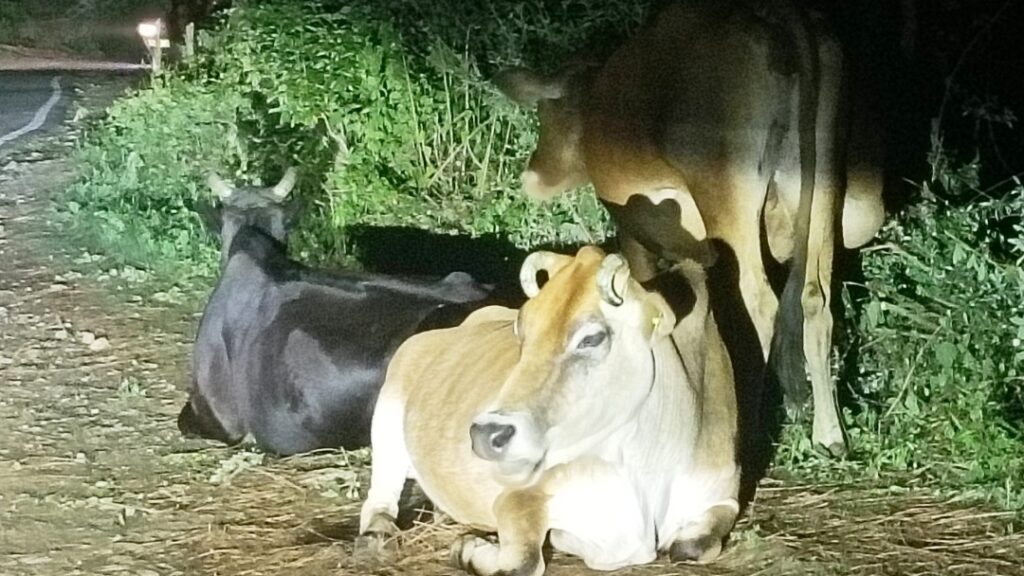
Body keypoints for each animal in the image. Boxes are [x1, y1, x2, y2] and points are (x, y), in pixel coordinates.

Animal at [358, 246, 739, 575]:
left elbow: (693, 545)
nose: (486, 433)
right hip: (387, 420)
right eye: (522, 332)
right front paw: (469, 549)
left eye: (592, 338)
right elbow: (524, 562)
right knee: (379, 500)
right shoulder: (518, 496)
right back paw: (378, 532)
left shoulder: (721, 495)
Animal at [494, 0, 886, 455]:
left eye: (546, 113)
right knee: (813, 299)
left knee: (759, 303)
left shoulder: (635, 238)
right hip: (823, 178)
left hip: (728, 192)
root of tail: (780, 18)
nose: (533, 175)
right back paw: (828, 433)